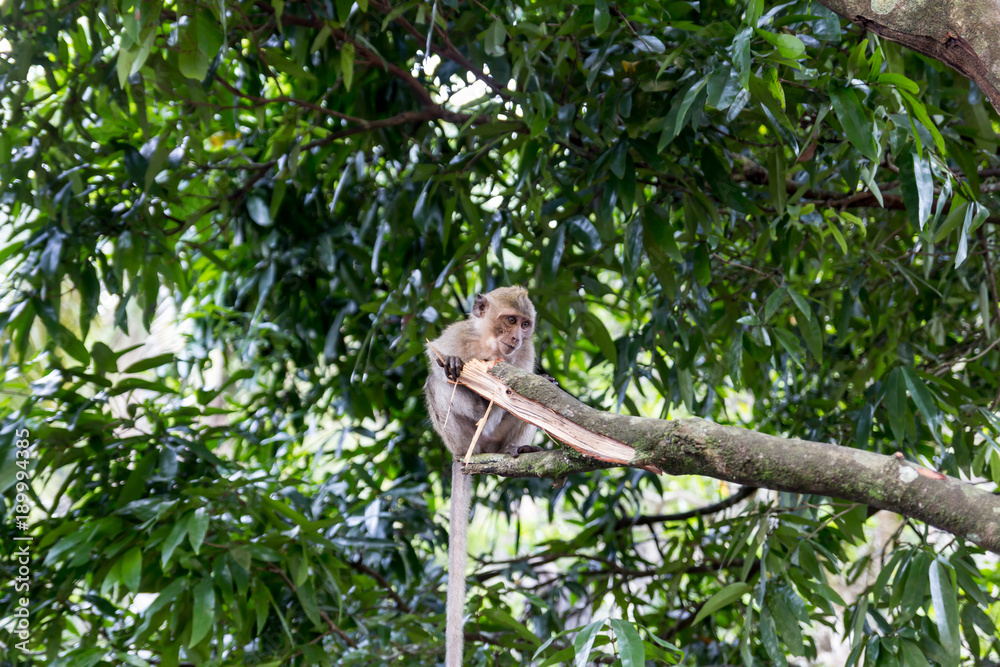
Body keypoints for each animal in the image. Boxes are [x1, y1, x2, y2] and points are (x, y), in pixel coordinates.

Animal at [424, 286, 544, 667]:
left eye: (525, 324)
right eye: (510, 319)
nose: (517, 337)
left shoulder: (525, 355)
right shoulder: (457, 335)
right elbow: (436, 358)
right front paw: (452, 366)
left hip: (498, 439)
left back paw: (515, 448)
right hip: (457, 437)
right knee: (439, 383)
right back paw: (474, 404)